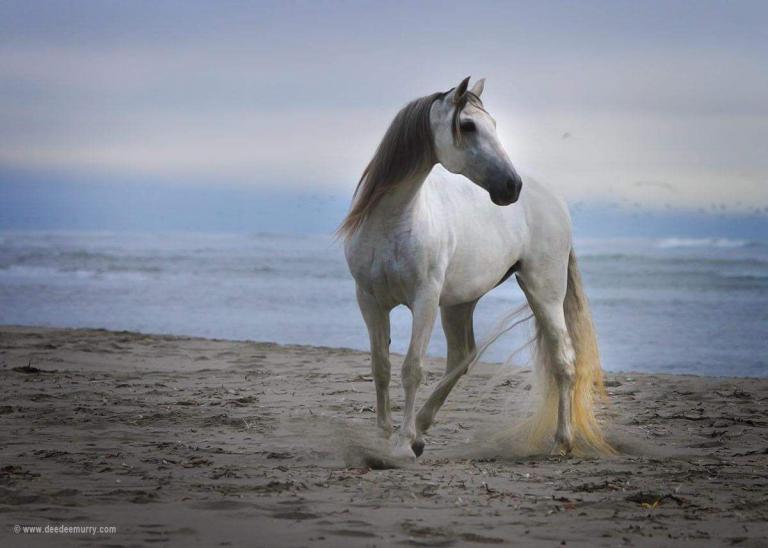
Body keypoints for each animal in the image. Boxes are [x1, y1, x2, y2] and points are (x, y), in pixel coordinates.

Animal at [339, 77, 611, 459]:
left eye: (493, 124)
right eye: (467, 126)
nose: (511, 186)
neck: (393, 222)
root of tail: (553, 198)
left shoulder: (424, 300)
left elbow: (412, 368)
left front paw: (401, 445)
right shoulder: (370, 301)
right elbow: (381, 367)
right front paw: (384, 438)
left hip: (544, 292)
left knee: (564, 360)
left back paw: (561, 441)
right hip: (459, 303)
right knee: (463, 355)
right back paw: (421, 429)